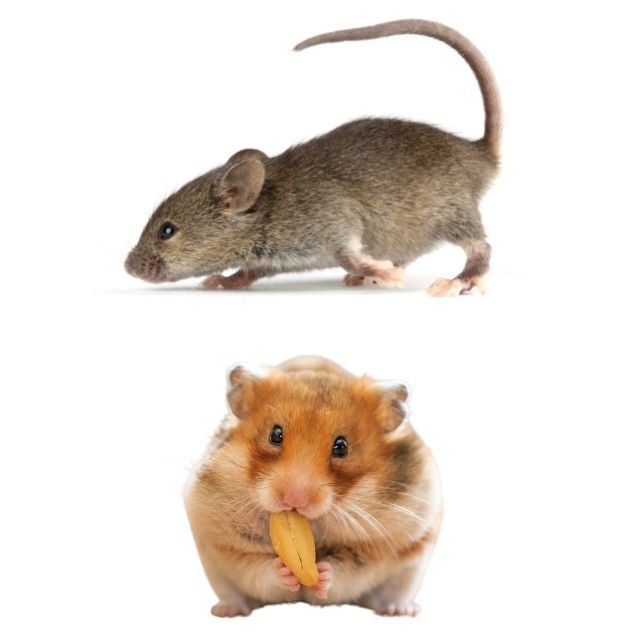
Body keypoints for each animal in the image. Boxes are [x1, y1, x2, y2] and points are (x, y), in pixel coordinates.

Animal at [125, 19, 501, 296]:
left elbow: (350, 256)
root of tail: (479, 154)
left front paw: (383, 273)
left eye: (167, 231)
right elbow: (245, 274)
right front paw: (219, 281)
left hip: (452, 212)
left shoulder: (335, 226)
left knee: (481, 249)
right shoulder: (267, 261)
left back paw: (457, 280)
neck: (267, 209)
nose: (127, 267)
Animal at [184, 356, 443, 617]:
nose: (294, 499)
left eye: (342, 447)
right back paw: (226, 611)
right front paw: (283, 570)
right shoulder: (223, 540)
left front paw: (323, 574)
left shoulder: (383, 543)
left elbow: (347, 570)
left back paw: (400, 610)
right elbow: (258, 569)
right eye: (275, 435)